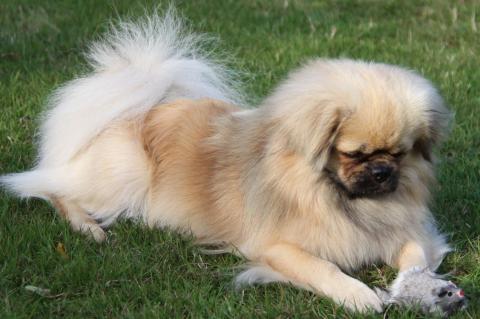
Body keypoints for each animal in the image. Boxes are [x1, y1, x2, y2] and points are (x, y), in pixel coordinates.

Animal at [0, 11, 450, 312]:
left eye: (399, 153)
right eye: (354, 153)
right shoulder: (275, 247)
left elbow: (413, 257)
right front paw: (359, 295)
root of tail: (141, 106)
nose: (382, 172)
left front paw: (419, 286)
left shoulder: (411, 233)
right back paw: (89, 228)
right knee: (52, 190)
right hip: (124, 176)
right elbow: (323, 268)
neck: (337, 197)